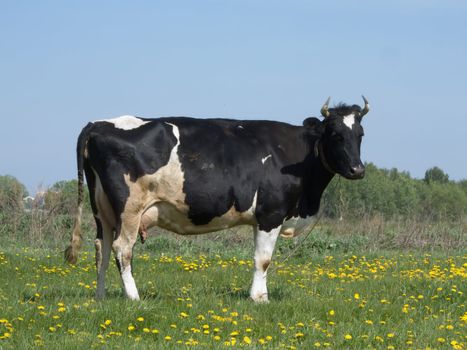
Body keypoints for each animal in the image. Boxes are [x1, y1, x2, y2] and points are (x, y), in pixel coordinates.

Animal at [66, 95, 372, 300]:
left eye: (360, 134)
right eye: (335, 134)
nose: (358, 170)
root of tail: (97, 124)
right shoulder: (270, 214)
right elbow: (263, 259)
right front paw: (259, 298)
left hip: (102, 209)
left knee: (102, 247)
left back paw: (101, 297)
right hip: (129, 208)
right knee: (122, 249)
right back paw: (134, 298)